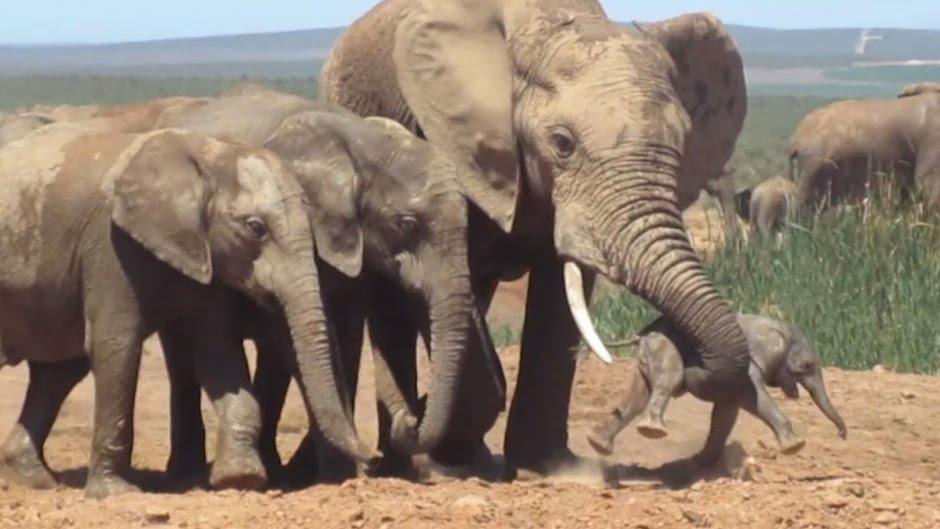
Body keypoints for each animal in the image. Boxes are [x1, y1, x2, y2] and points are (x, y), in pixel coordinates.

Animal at [0, 124, 374, 496]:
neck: (209, 153)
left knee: (58, 371)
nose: (371, 457)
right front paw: (116, 493)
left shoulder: (204, 256)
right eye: (256, 228)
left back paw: (35, 479)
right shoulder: (109, 247)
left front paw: (240, 479)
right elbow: (117, 346)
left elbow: (215, 351)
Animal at [322, 0, 748, 472]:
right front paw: (459, 454)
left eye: (684, 142)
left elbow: (560, 297)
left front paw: (551, 467)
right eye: (562, 143)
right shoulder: (445, 141)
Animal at [588, 312, 844, 464]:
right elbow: (756, 400)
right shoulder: (749, 368)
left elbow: (725, 415)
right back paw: (653, 431)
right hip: (666, 348)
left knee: (637, 396)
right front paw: (795, 446)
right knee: (667, 381)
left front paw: (704, 463)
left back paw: (598, 444)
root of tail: (641, 335)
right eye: (806, 366)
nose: (842, 435)